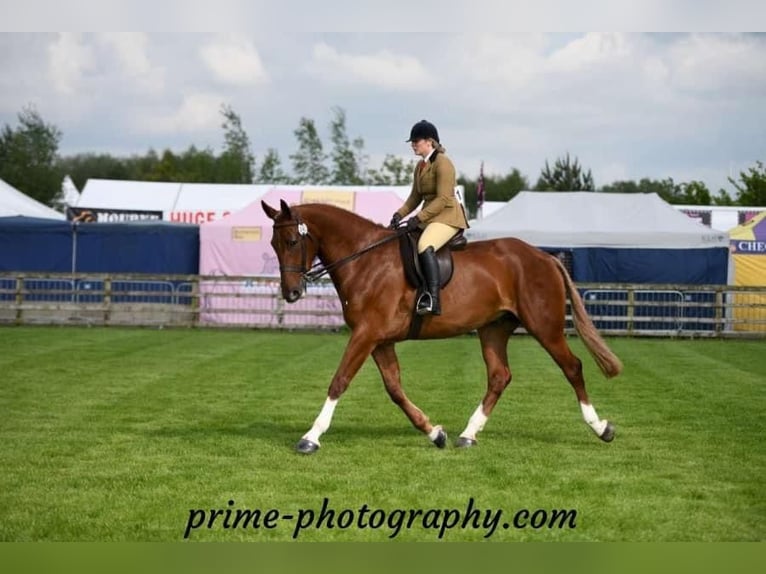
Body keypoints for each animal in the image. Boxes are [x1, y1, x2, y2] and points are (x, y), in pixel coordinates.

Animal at [262, 200, 624, 456]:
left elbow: (339, 381)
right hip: (493, 329)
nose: (291, 293)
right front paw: (434, 432)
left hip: (544, 326)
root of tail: (546, 257)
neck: (364, 260)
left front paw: (311, 437)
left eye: (292, 241)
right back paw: (468, 434)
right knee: (499, 376)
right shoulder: (379, 339)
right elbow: (394, 389)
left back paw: (601, 428)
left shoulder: (366, 334)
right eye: (273, 245)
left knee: (572, 367)